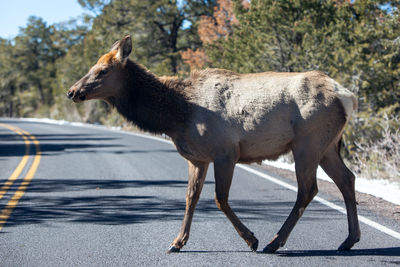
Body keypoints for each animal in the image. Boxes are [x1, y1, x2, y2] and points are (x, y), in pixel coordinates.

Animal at [68, 36, 360, 255]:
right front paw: (177, 242)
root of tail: (347, 96)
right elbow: (191, 197)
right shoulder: (197, 158)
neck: (177, 116)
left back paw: (274, 242)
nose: (72, 91)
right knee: (347, 179)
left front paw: (251, 239)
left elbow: (220, 198)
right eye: (92, 66)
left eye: (102, 70)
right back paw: (348, 240)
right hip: (328, 146)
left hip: (307, 143)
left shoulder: (225, 152)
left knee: (308, 189)